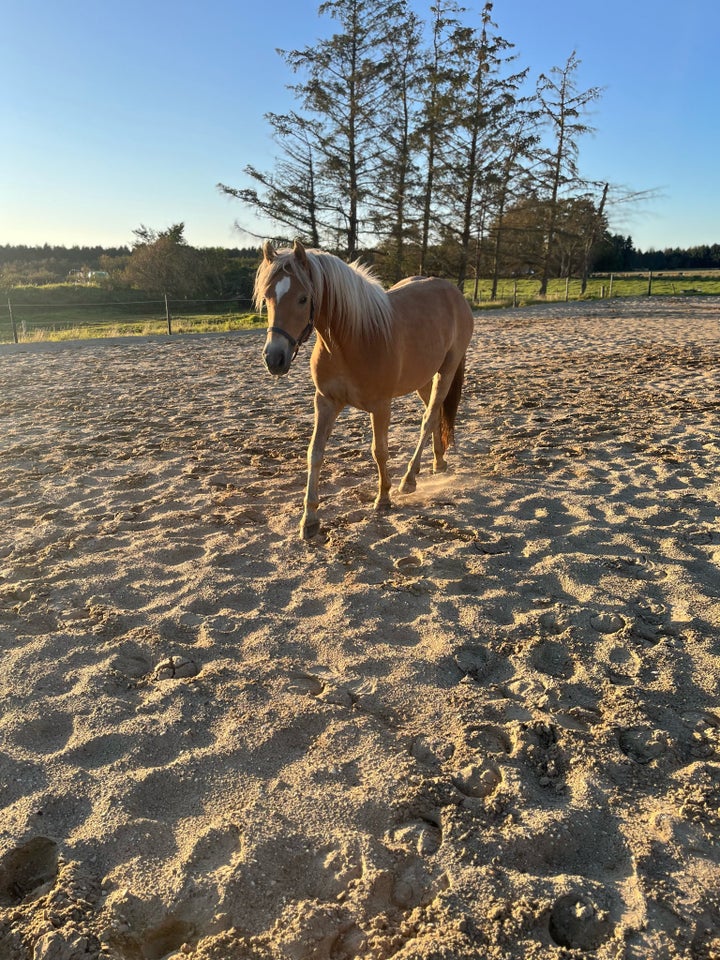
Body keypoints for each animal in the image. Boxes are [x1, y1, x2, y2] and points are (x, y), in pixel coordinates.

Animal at [256, 240, 476, 540]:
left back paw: (409, 479)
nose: (274, 359)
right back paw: (438, 462)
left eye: (303, 298)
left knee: (429, 418)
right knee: (435, 415)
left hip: (447, 370)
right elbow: (315, 453)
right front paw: (309, 519)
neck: (351, 340)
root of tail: (454, 293)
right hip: (423, 379)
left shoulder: (381, 406)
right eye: (268, 298)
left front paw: (383, 498)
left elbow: (379, 450)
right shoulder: (325, 402)